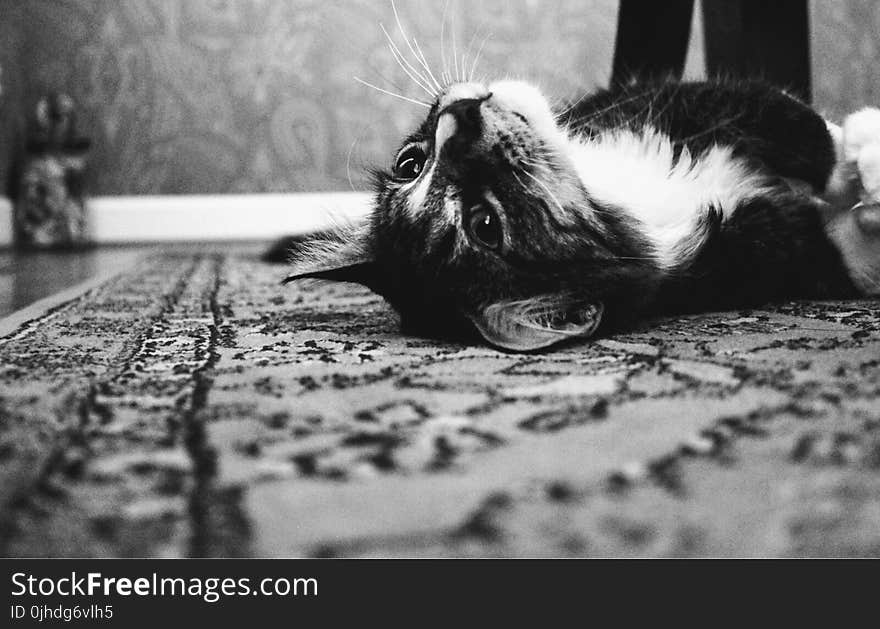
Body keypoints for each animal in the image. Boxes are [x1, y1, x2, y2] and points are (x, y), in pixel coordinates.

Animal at [280, 76, 880, 350]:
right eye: (484, 225)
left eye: (411, 163)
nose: (460, 118)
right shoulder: (762, 249)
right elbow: (843, 242)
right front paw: (867, 172)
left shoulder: (679, 101)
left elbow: (795, 122)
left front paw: (858, 150)